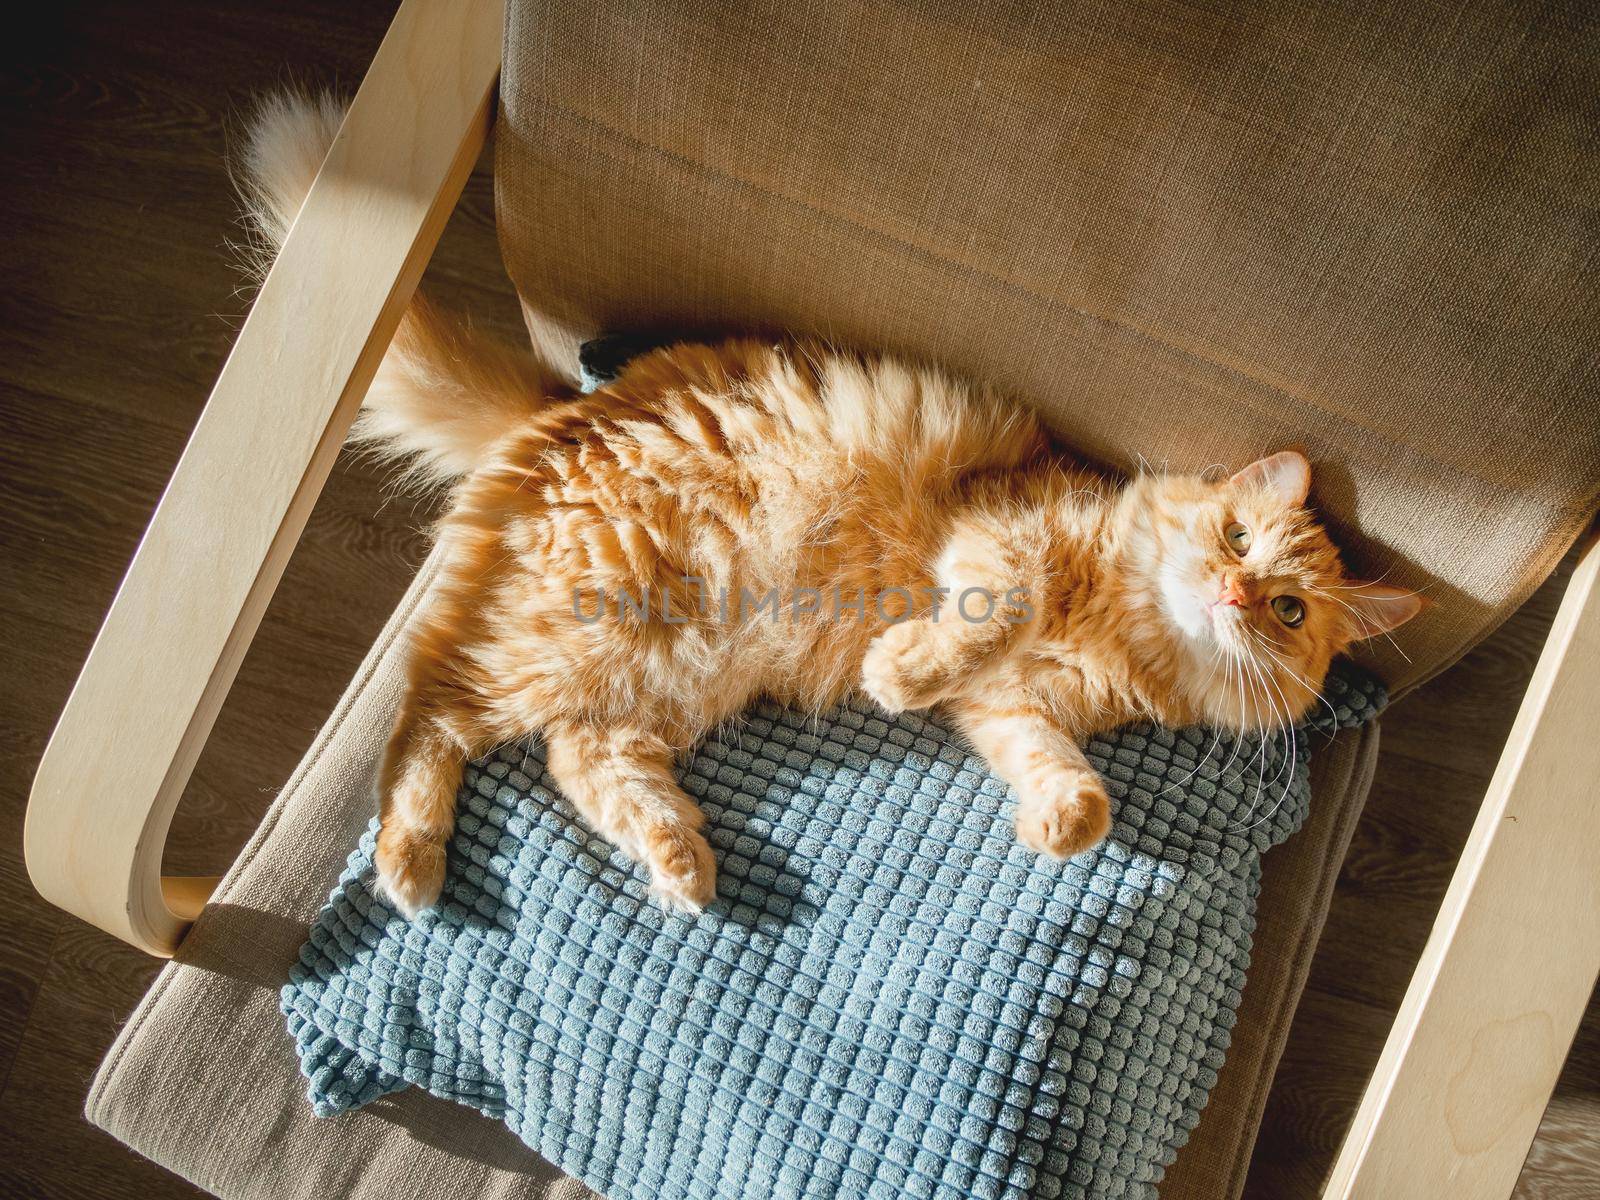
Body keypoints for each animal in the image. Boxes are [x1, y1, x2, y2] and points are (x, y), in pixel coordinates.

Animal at [236, 94, 1414, 921]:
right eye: (1236, 537)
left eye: (1290, 611)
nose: (1233, 593)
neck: (1128, 628)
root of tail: (562, 406)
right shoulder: (998, 535)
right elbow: (995, 609)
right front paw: (899, 672)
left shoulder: (1014, 711)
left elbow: (1077, 788)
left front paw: (1058, 825)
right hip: (579, 628)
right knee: (431, 707)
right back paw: (411, 865)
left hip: (661, 677)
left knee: (577, 755)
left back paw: (679, 859)